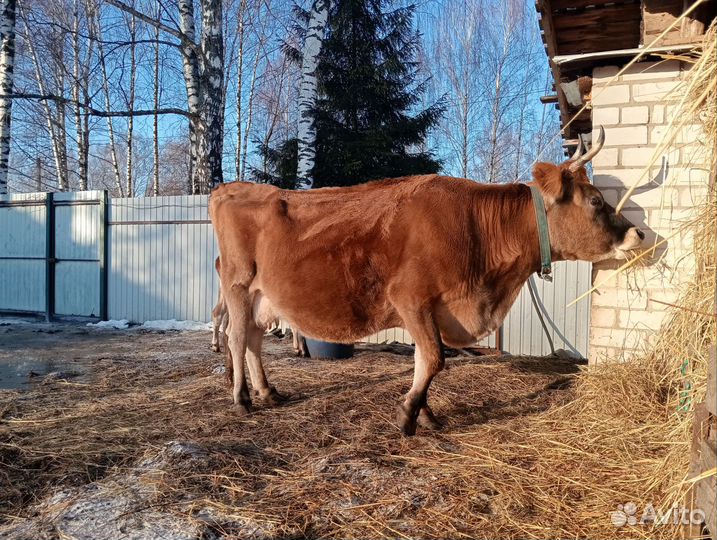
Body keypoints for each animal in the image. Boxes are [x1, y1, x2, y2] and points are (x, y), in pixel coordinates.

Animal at [209, 128, 644, 435]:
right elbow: (434, 359)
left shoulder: (430, 309)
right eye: (596, 201)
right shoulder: (411, 299)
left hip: (262, 297)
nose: (638, 234)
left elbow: (425, 360)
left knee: (252, 340)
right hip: (237, 285)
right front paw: (408, 415)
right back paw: (241, 398)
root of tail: (230, 188)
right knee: (235, 337)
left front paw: (425, 413)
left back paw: (267, 392)